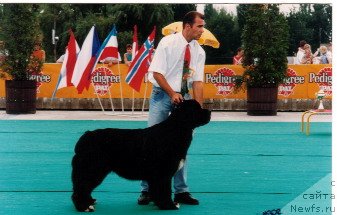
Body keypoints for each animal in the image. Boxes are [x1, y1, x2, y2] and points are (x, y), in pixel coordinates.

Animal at [71, 99, 210, 212]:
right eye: (197, 109)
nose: (209, 111)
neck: (175, 130)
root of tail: (86, 136)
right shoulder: (162, 173)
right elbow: (164, 190)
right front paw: (169, 205)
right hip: (93, 169)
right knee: (81, 188)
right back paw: (84, 207)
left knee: (83, 187)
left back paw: (89, 202)